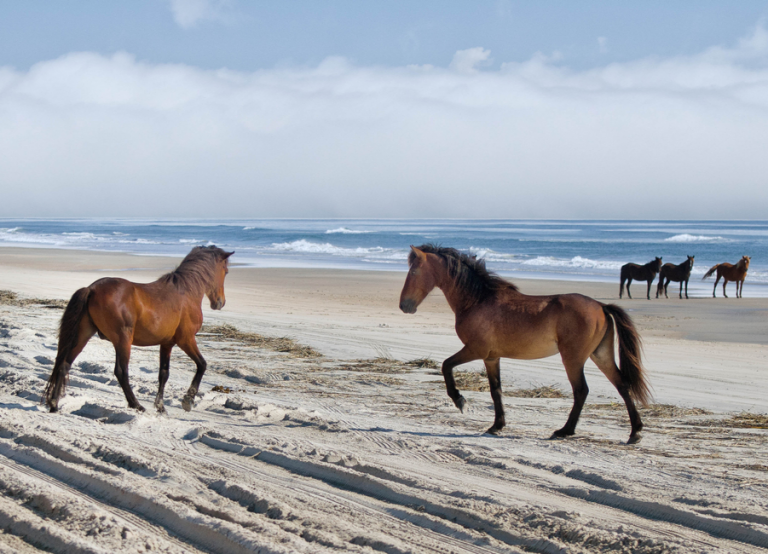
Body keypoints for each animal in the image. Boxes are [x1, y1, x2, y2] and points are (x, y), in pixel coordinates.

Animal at [43, 245, 234, 413]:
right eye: (226, 271)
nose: (220, 302)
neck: (185, 293)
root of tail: (91, 289)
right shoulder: (186, 339)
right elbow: (202, 365)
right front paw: (188, 400)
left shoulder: (167, 344)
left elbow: (164, 374)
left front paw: (161, 407)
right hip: (123, 339)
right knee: (121, 372)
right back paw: (136, 405)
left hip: (84, 334)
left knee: (64, 364)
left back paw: (54, 404)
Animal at [400, 245, 652, 444]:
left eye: (413, 271)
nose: (404, 305)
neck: (478, 300)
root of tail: (601, 306)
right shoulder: (491, 357)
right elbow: (496, 390)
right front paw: (497, 426)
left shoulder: (475, 350)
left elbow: (446, 366)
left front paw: (460, 401)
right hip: (601, 355)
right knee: (622, 385)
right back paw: (635, 433)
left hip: (573, 358)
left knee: (582, 390)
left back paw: (565, 431)